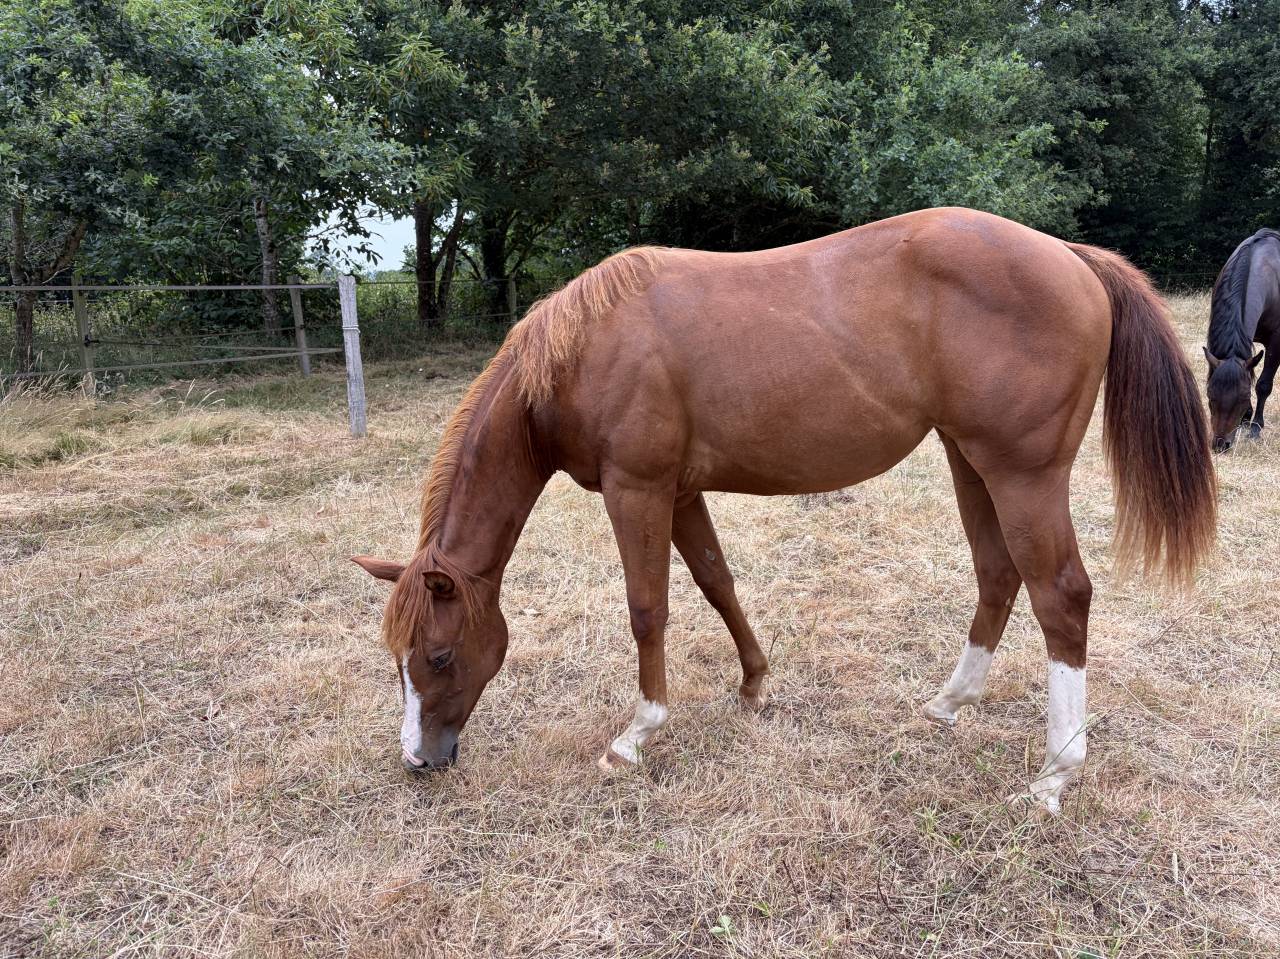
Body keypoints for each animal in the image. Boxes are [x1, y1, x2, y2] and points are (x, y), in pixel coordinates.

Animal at [354, 207, 1216, 814]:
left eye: (438, 656)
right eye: (397, 659)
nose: (418, 759)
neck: (581, 352)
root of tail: (1071, 256)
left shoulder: (638, 488)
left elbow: (647, 607)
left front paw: (637, 734)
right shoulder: (680, 491)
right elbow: (716, 582)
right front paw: (755, 684)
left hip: (1022, 474)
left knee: (1061, 596)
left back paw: (1055, 774)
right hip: (971, 461)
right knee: (998, 575)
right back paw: (948, 702)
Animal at [1203, 228, 1280, 452]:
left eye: (1243, 398)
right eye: (1210, 396)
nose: (1221, 444)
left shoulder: (1276, 340)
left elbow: (1263, 384)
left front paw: (1255, 427)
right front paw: (1247, 419)